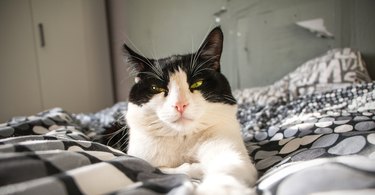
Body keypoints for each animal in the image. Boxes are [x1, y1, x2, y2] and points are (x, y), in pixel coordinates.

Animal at [125, 26, 258, 194]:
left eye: (197, 83)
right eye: (157, 88)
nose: (180, 105)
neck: (182, 137)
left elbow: (229, 165)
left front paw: (220, 188)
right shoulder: (141, 156)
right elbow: (161, 168)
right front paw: (195, 168)